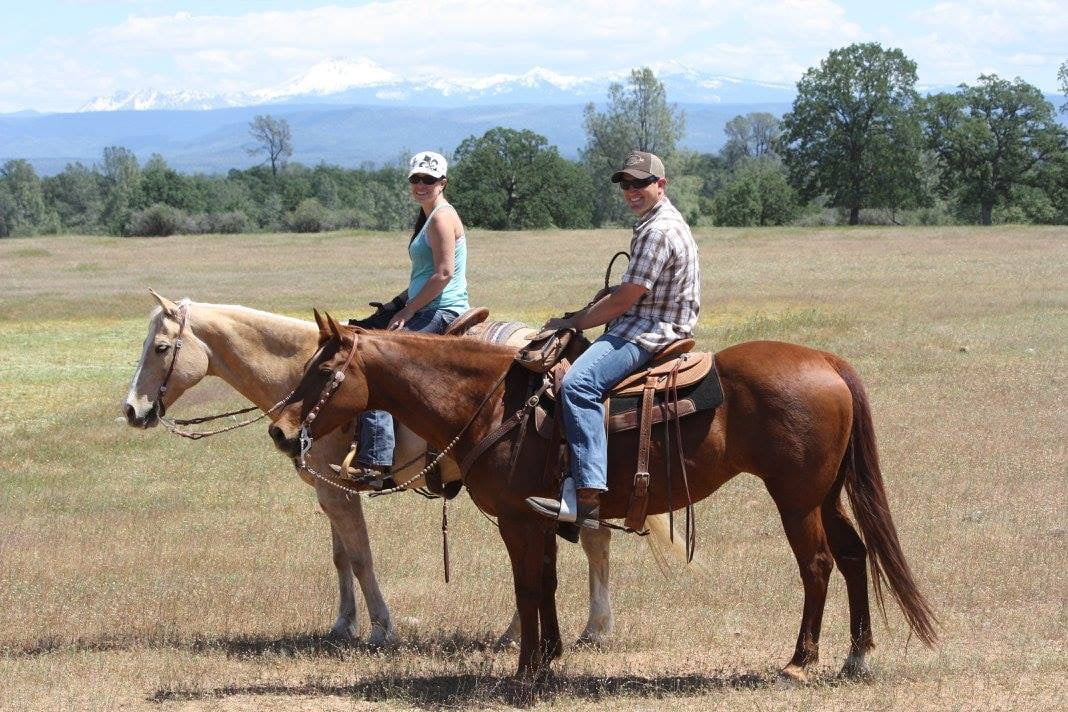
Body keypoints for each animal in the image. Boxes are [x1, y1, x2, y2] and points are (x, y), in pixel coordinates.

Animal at [121, 292, 679, 649]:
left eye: (162, 347)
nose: (132, 410)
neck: (300, 373)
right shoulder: (328, 491)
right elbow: (340, 558)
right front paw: (342, 625)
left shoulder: (339, 492)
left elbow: (361, 557)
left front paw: (381, 628)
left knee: (590, 539)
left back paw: (570, 630)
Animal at [271, 320, 939, 683]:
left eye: (322, 372)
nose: (280, 431)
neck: (493, 403)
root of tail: (825, 360)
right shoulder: (538, 519)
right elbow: (546, 582)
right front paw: (550, 656)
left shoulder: (516, 520)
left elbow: (528, 587)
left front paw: (526, 670)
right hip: (824, 494)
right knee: (854, 556)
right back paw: (857, 655)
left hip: (796, 499)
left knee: (818, 565)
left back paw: (801, 660)